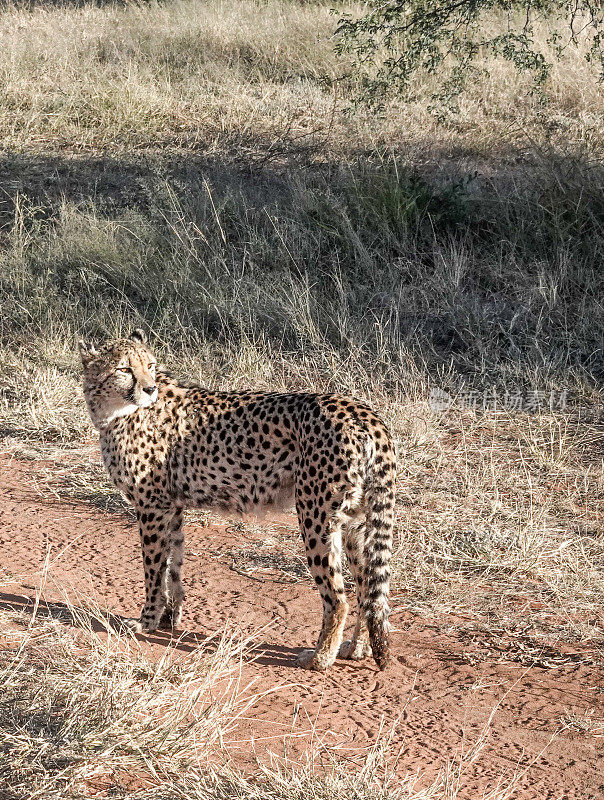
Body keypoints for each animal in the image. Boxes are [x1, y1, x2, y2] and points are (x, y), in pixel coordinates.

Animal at [79, 328, 396, 672]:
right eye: (125, 368)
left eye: (149, 364)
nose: (149, 388)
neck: (114, 410)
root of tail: (362, 412)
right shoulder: (172, 506)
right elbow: (173, 564)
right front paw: (169, 617)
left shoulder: (152, 506)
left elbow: (153, 569)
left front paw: (146, 620)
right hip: (354, 520)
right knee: (366, 588)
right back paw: (357, 647)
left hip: (317, 515)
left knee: (338, 597)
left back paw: (320, 657)